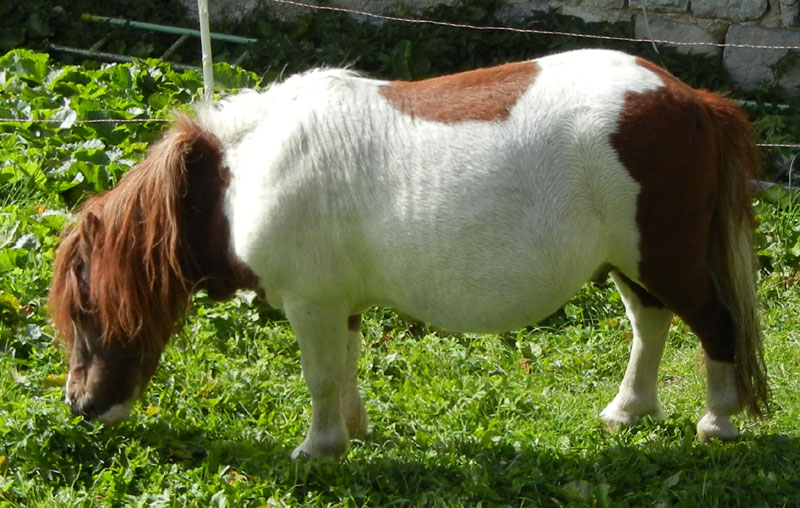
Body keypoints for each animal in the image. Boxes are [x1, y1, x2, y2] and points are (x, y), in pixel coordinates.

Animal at [50, 48, 768, 460]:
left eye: (85, 311)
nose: (81, 407)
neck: (245, 172)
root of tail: (691, 98)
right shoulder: (339, 301)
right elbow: (345, 367)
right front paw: (353, 431)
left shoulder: (310, 302)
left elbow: (320, 375)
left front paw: (318, 449)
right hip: (633, 262)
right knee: (650, 321)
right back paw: (628, 411)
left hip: (665, 257)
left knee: (714, 325)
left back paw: (717, 424)